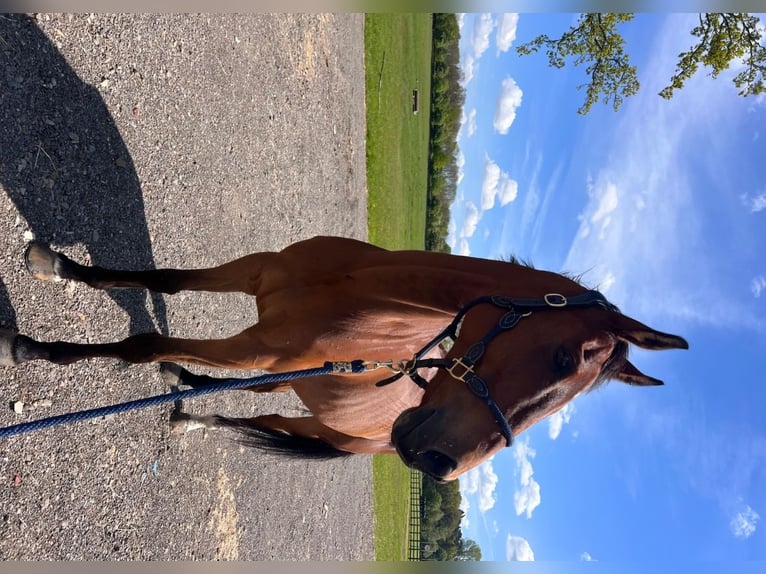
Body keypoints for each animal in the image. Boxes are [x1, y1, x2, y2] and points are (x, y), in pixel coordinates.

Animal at [0, 236, 688, 484]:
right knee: (253, 394)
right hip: (291, 382)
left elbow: (144, 343)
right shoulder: (256, 275)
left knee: (256, 417)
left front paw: (31, 346)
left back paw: (193, 412)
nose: (441, 463)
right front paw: (55, 266)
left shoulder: (257, 344)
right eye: (561, 358)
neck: (359, 292)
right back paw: (185, 391)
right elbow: (164, 281)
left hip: (312, 418)